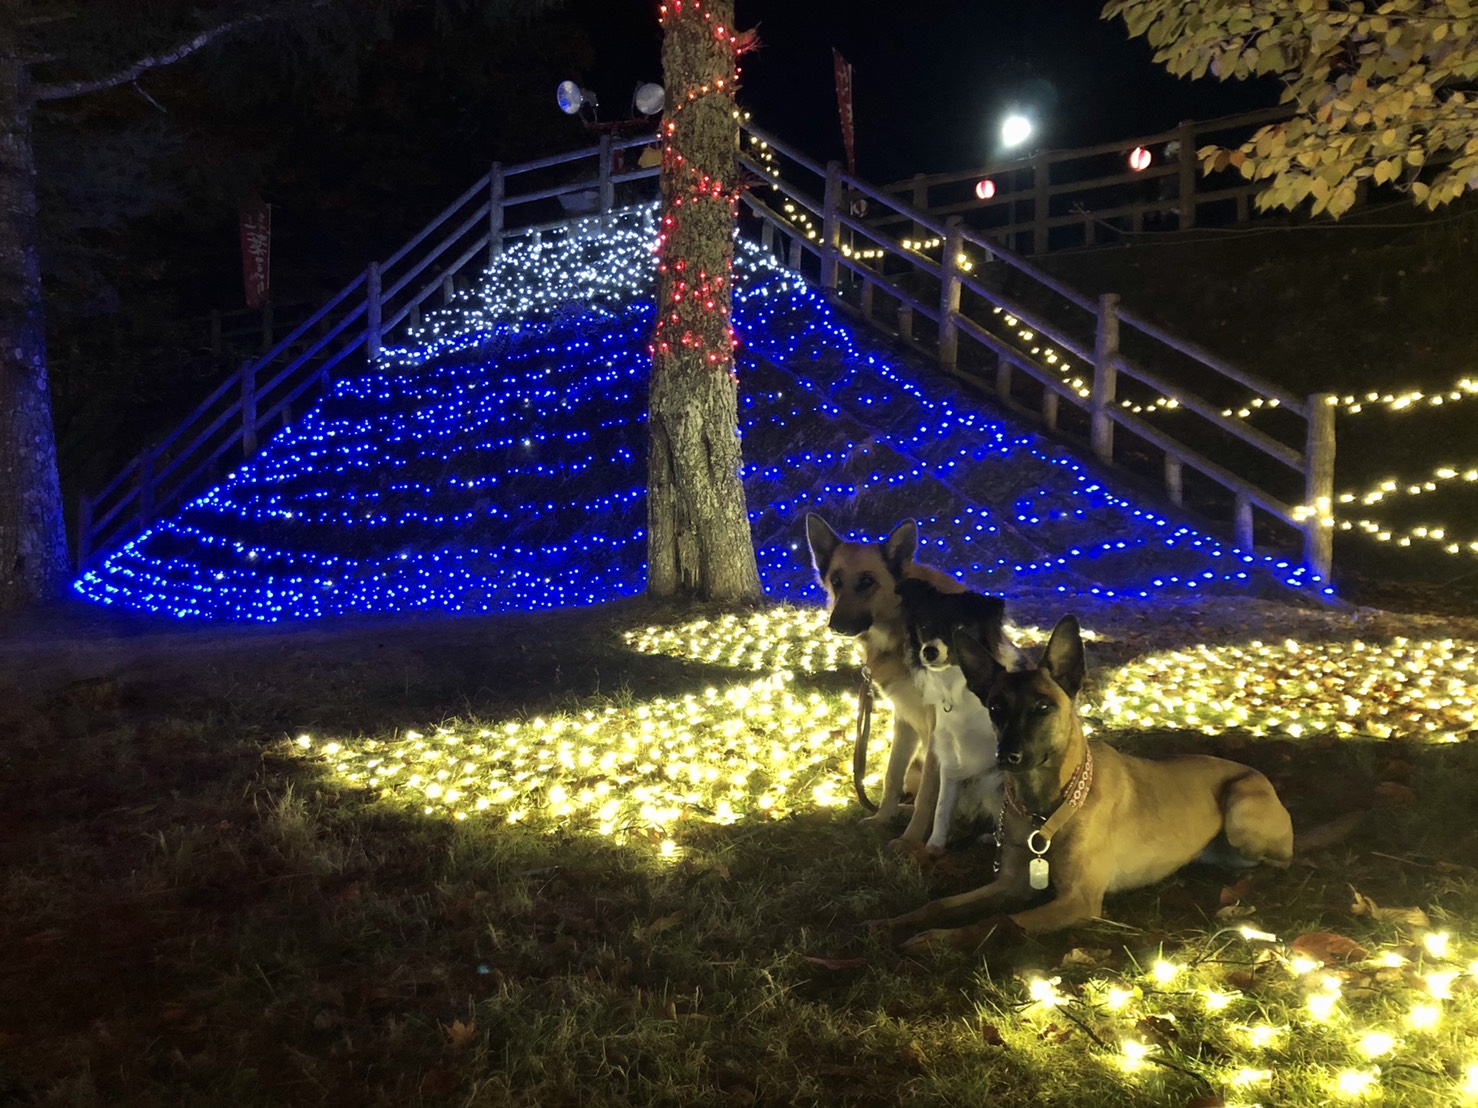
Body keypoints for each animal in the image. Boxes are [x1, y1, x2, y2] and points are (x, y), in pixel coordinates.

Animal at [809, 517, 969, 845]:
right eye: (836, 580)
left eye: (867, 581)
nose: (836, 626)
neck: (901, 630)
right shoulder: (904, 721)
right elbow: (891, 774)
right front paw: (883, 818)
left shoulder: (937, 729)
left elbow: (929, 794)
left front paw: (911, 842)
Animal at [874, 617, 1294, 957]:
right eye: (995, 707)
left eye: (1043, 707)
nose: (1006, 756)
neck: (1045, 809)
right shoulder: (1010, 882)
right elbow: (941, 904)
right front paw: (892, 923)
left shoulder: (1078, 902)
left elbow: (994, 921)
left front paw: (939, 939)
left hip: (1241, 811)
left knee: (1278, 861)